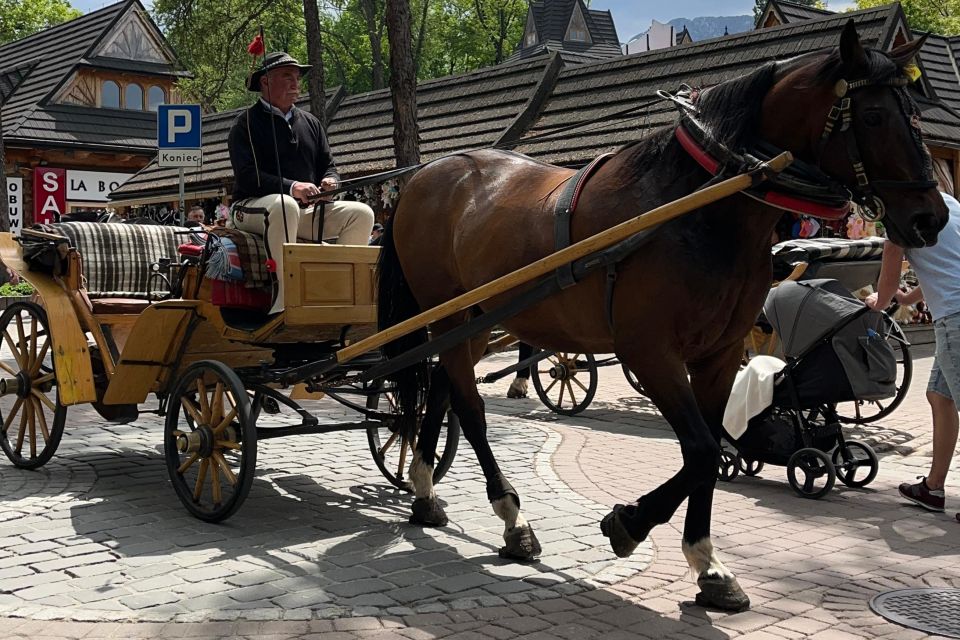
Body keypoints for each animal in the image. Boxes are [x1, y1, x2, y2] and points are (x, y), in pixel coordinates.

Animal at [374, 20, 944, 608]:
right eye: (873, 117)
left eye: (915, 114)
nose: (931, 218)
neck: (696, 209)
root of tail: (427, 175)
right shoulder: (650, 352)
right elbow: (700, 450)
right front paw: (631, 524)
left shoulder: (718, 356)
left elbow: (710, 451)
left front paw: (708, 564)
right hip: (449, 316)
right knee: (470, 409)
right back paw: (512, 517)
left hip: (473, 320)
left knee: (443, 390)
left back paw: (424, 491)